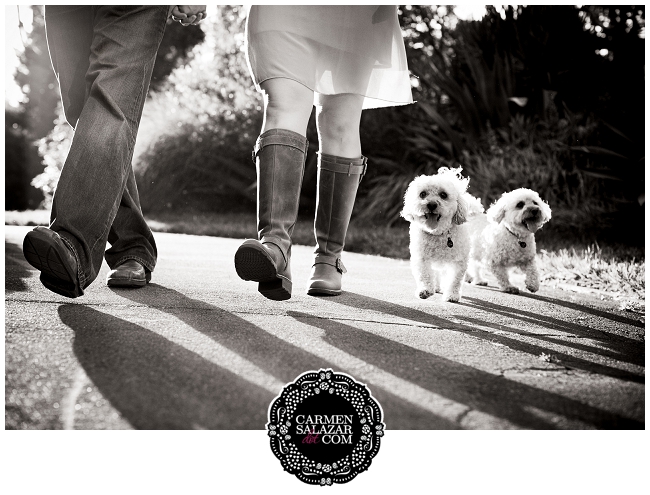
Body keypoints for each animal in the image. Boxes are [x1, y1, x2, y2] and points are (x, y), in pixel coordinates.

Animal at [398, 169, 484, 304]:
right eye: (422, 194)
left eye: (443, 195)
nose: (431, 204)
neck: (438, 233)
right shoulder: (421, 258)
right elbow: (424, 274)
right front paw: (425, 290)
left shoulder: (458, 261)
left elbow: (454, 280)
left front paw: (452, 295)